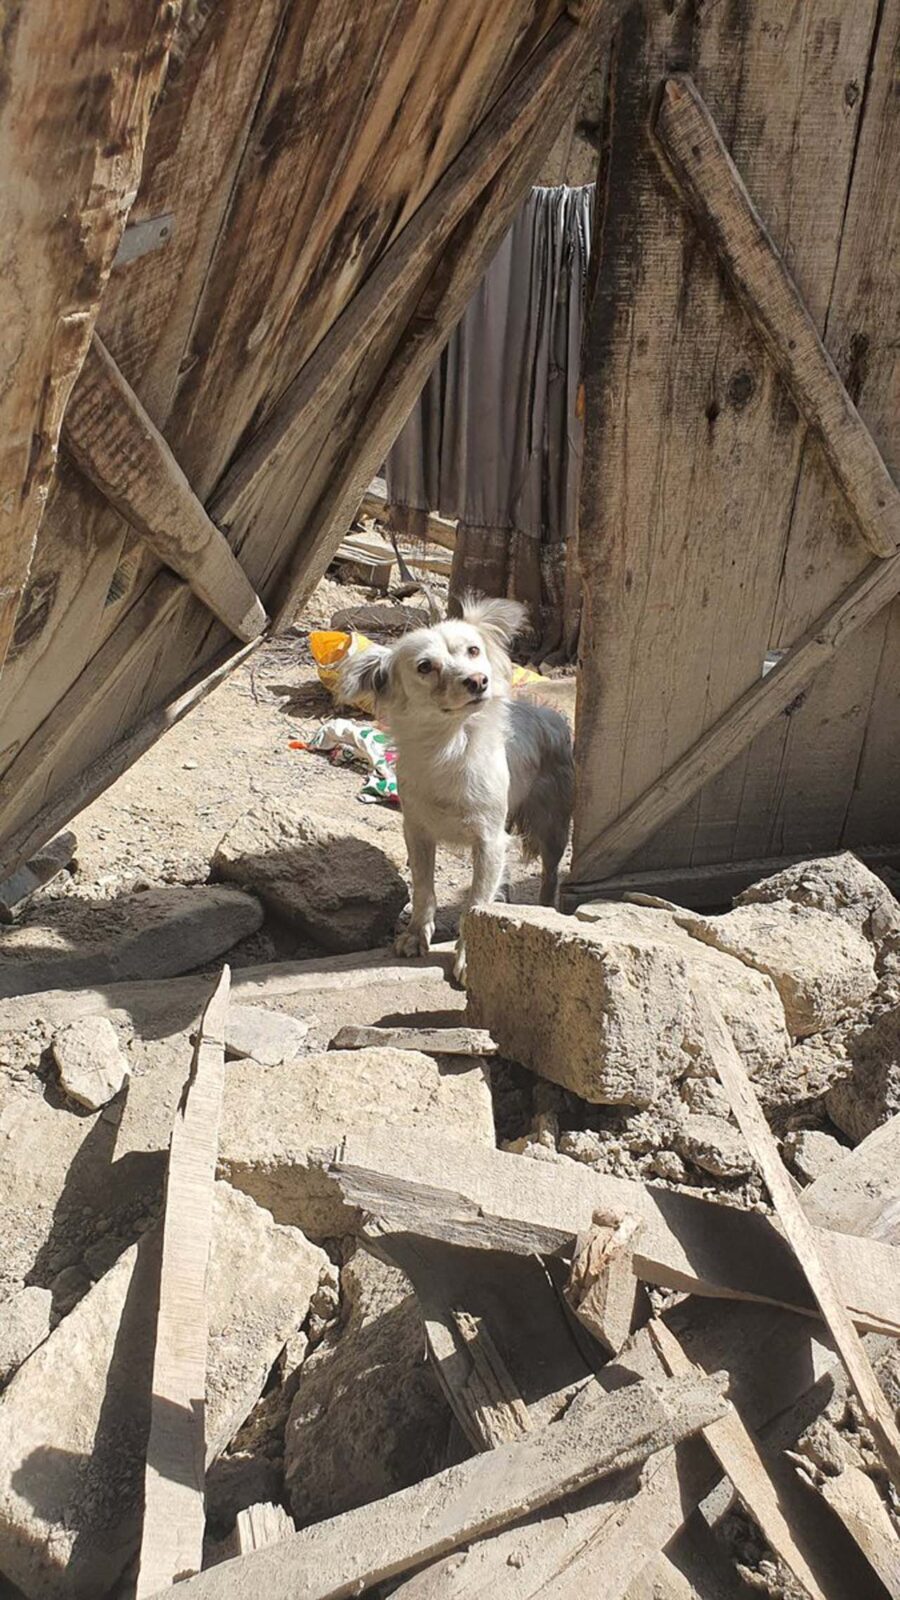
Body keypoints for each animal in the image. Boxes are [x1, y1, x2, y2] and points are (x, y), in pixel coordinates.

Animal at [336, 595, 573, 979]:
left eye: (473, 651)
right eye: (425, 667)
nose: (478, 680)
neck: (450, 746)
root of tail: (545, 711)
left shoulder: (489, 841)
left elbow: (475, 902)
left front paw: (468, 956)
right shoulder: (418, 833)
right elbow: (423, 889)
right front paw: (416, 935)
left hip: (552, 828)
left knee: (549, 876)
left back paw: (542, 910)